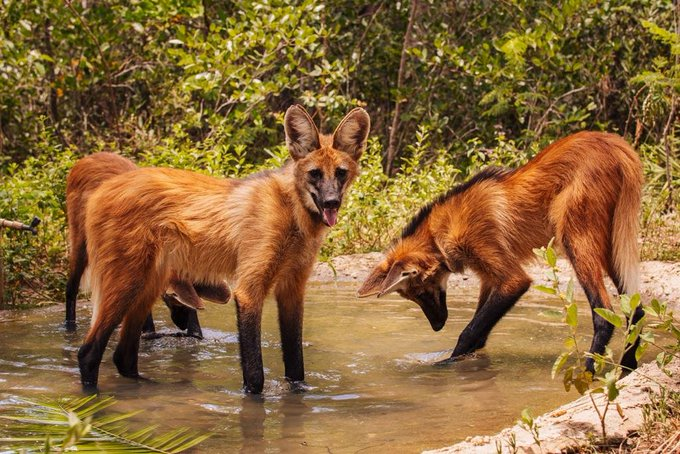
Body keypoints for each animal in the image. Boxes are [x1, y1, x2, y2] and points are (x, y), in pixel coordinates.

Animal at [66, 153, 231, 336]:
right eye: (171, 298)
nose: (182, 325)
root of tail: (88, 158)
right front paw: (148, 332)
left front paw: (195, 332)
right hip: (82, 242)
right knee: (71, 286)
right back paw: (70, 326)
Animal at [362, 131, 644, 372]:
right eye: (414, 297)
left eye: (420, 293)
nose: (437, 325)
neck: (442, 231)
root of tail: (617, 145)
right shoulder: (489, 278)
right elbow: (480, 332)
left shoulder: (510, 278)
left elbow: (469, 331)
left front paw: (445, 364)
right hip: (611, 244)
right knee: (635, 310)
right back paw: (627, 369)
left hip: (576, 239)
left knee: (604, 313)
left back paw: (589, 373)